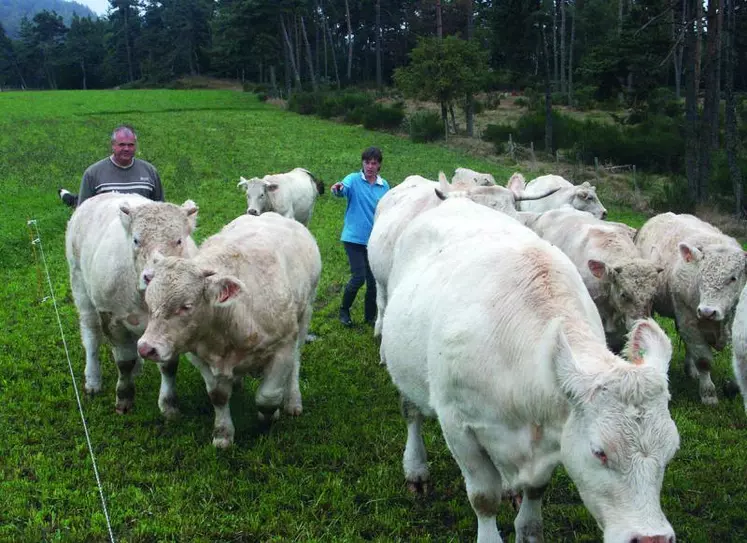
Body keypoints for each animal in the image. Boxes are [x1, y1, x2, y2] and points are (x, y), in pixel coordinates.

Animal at [65, 194, 199, 416]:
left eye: (179, 240)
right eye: (136, 240)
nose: (151, 276)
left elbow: (169, 366)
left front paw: (169, 404)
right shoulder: (112, 318)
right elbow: (124, 362)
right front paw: (124, 397)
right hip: (80, 286)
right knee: (91, 336)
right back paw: (93, 379)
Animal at [137, 214, 322, 450]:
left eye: (186, 306)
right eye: (149, 302)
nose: (146, 348)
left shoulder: (284, 346)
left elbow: (268, 396)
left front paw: (269, 417)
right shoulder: (200, 356)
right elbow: (218, 396)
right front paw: (223, 435)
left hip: (306, 312)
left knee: (296, 363)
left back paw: (292, 401)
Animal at [636, 211, 747, 404]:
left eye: (733, 278)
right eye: (701, 275)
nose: (708, 312)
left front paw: (731, 387)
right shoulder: (688, 318)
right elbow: (704, 360)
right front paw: (709, 394)